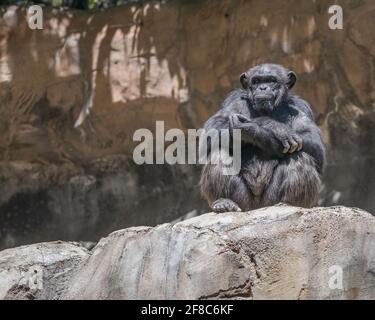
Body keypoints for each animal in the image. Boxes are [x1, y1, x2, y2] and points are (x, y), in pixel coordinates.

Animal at [200, 63, 326, 212]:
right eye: (256, 81)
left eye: (271, 80)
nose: (263, 88)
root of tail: (257, 207)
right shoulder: (233, 101)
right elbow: (212, 128)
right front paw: (271, 125)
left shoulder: (301, 107)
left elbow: (314, 142)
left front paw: (252, 128)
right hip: (244, 201)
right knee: (218, 152)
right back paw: (224, 202)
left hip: (270, 200)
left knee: (300, 155)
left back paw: (290, 203)